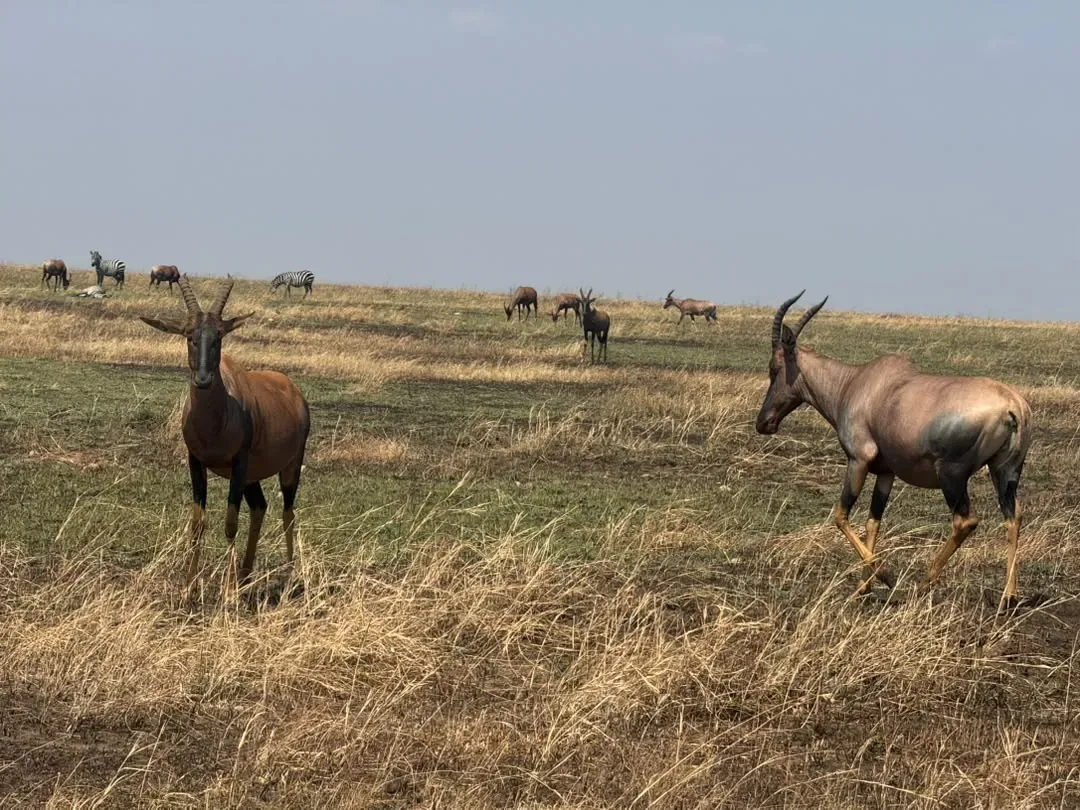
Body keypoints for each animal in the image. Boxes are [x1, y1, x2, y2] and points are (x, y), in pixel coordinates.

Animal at [140, 275, 311, 597]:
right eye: (189, 335)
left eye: (219, 336)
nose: (203, 379)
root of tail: (293, 389)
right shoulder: (196, 463)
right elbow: (198, 523)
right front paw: (189, 589)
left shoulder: (238, 463)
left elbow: (230, 523)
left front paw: (228, 595)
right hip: (252, 476)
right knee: (259, 508)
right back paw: (244, 575)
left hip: (289, 467)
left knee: (288, 513)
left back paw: (287, 577)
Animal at [756, 291, 1032, 608]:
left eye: (773, 368)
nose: (763, 423)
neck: (856, 383)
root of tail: (1013, 405)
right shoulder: (886, 473)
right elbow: (872, 522)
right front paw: (862, 588)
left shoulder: (858, 460)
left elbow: (840, 515)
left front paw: (886, 577)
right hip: (1005, 472)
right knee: (1013, 516)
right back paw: (1008, 596)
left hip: (952, 475)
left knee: (965, 521)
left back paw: (922, 585)